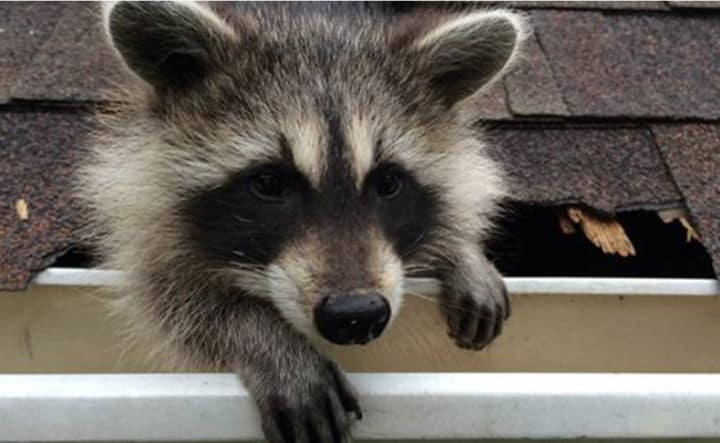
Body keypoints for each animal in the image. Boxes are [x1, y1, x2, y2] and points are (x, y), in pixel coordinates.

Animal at [81, 1, 524, 442]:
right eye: (269, 183)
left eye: (388, 182)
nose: (356, 314)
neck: (311, 20)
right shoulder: (144, 204)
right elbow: (170, 296)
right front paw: (269, 341)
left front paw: (462, 252)